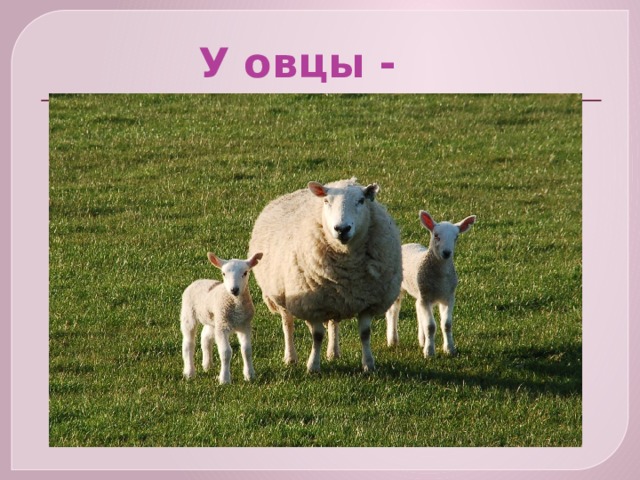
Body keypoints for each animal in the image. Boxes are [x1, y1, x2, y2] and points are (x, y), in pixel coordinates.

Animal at [180, 252, 263, 384]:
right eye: (224, 274)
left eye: (245, 273)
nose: (234, 289)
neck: (236, 305)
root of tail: (199, 280)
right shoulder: (223, 327)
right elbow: (226, 352)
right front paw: (224, 379)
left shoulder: (244, 325)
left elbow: (247, 350)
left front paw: (250, 375)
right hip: (188, 314)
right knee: (188, 343)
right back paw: (189, 372)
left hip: (214, 320)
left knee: (205, 337)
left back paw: (207, 365)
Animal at [248, 178, 402, 373]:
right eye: (326, 201)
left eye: (361, 201)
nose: (342, 229)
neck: (347, 263)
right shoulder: (312, 304)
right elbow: (317, 335)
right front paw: (313, 366)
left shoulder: (368, 302)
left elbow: (365, 334)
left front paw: (368, 364)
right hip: (281, 295)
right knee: (287, 324)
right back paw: (290, 358)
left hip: (334, 298)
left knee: (333, 323)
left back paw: (333, 353)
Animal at [385, 210, 476, 357]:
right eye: (436, 235)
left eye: (456, 237)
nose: (447, 253)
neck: (440, 276)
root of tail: (407, 245)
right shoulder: (426, 297)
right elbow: (431, 326)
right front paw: (429, 352)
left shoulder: (447, 297)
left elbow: (447, 324)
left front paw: (449, 349)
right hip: (400, 287)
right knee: (393, 311)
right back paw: (393, 340)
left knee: (417, 307)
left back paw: (422, 340)